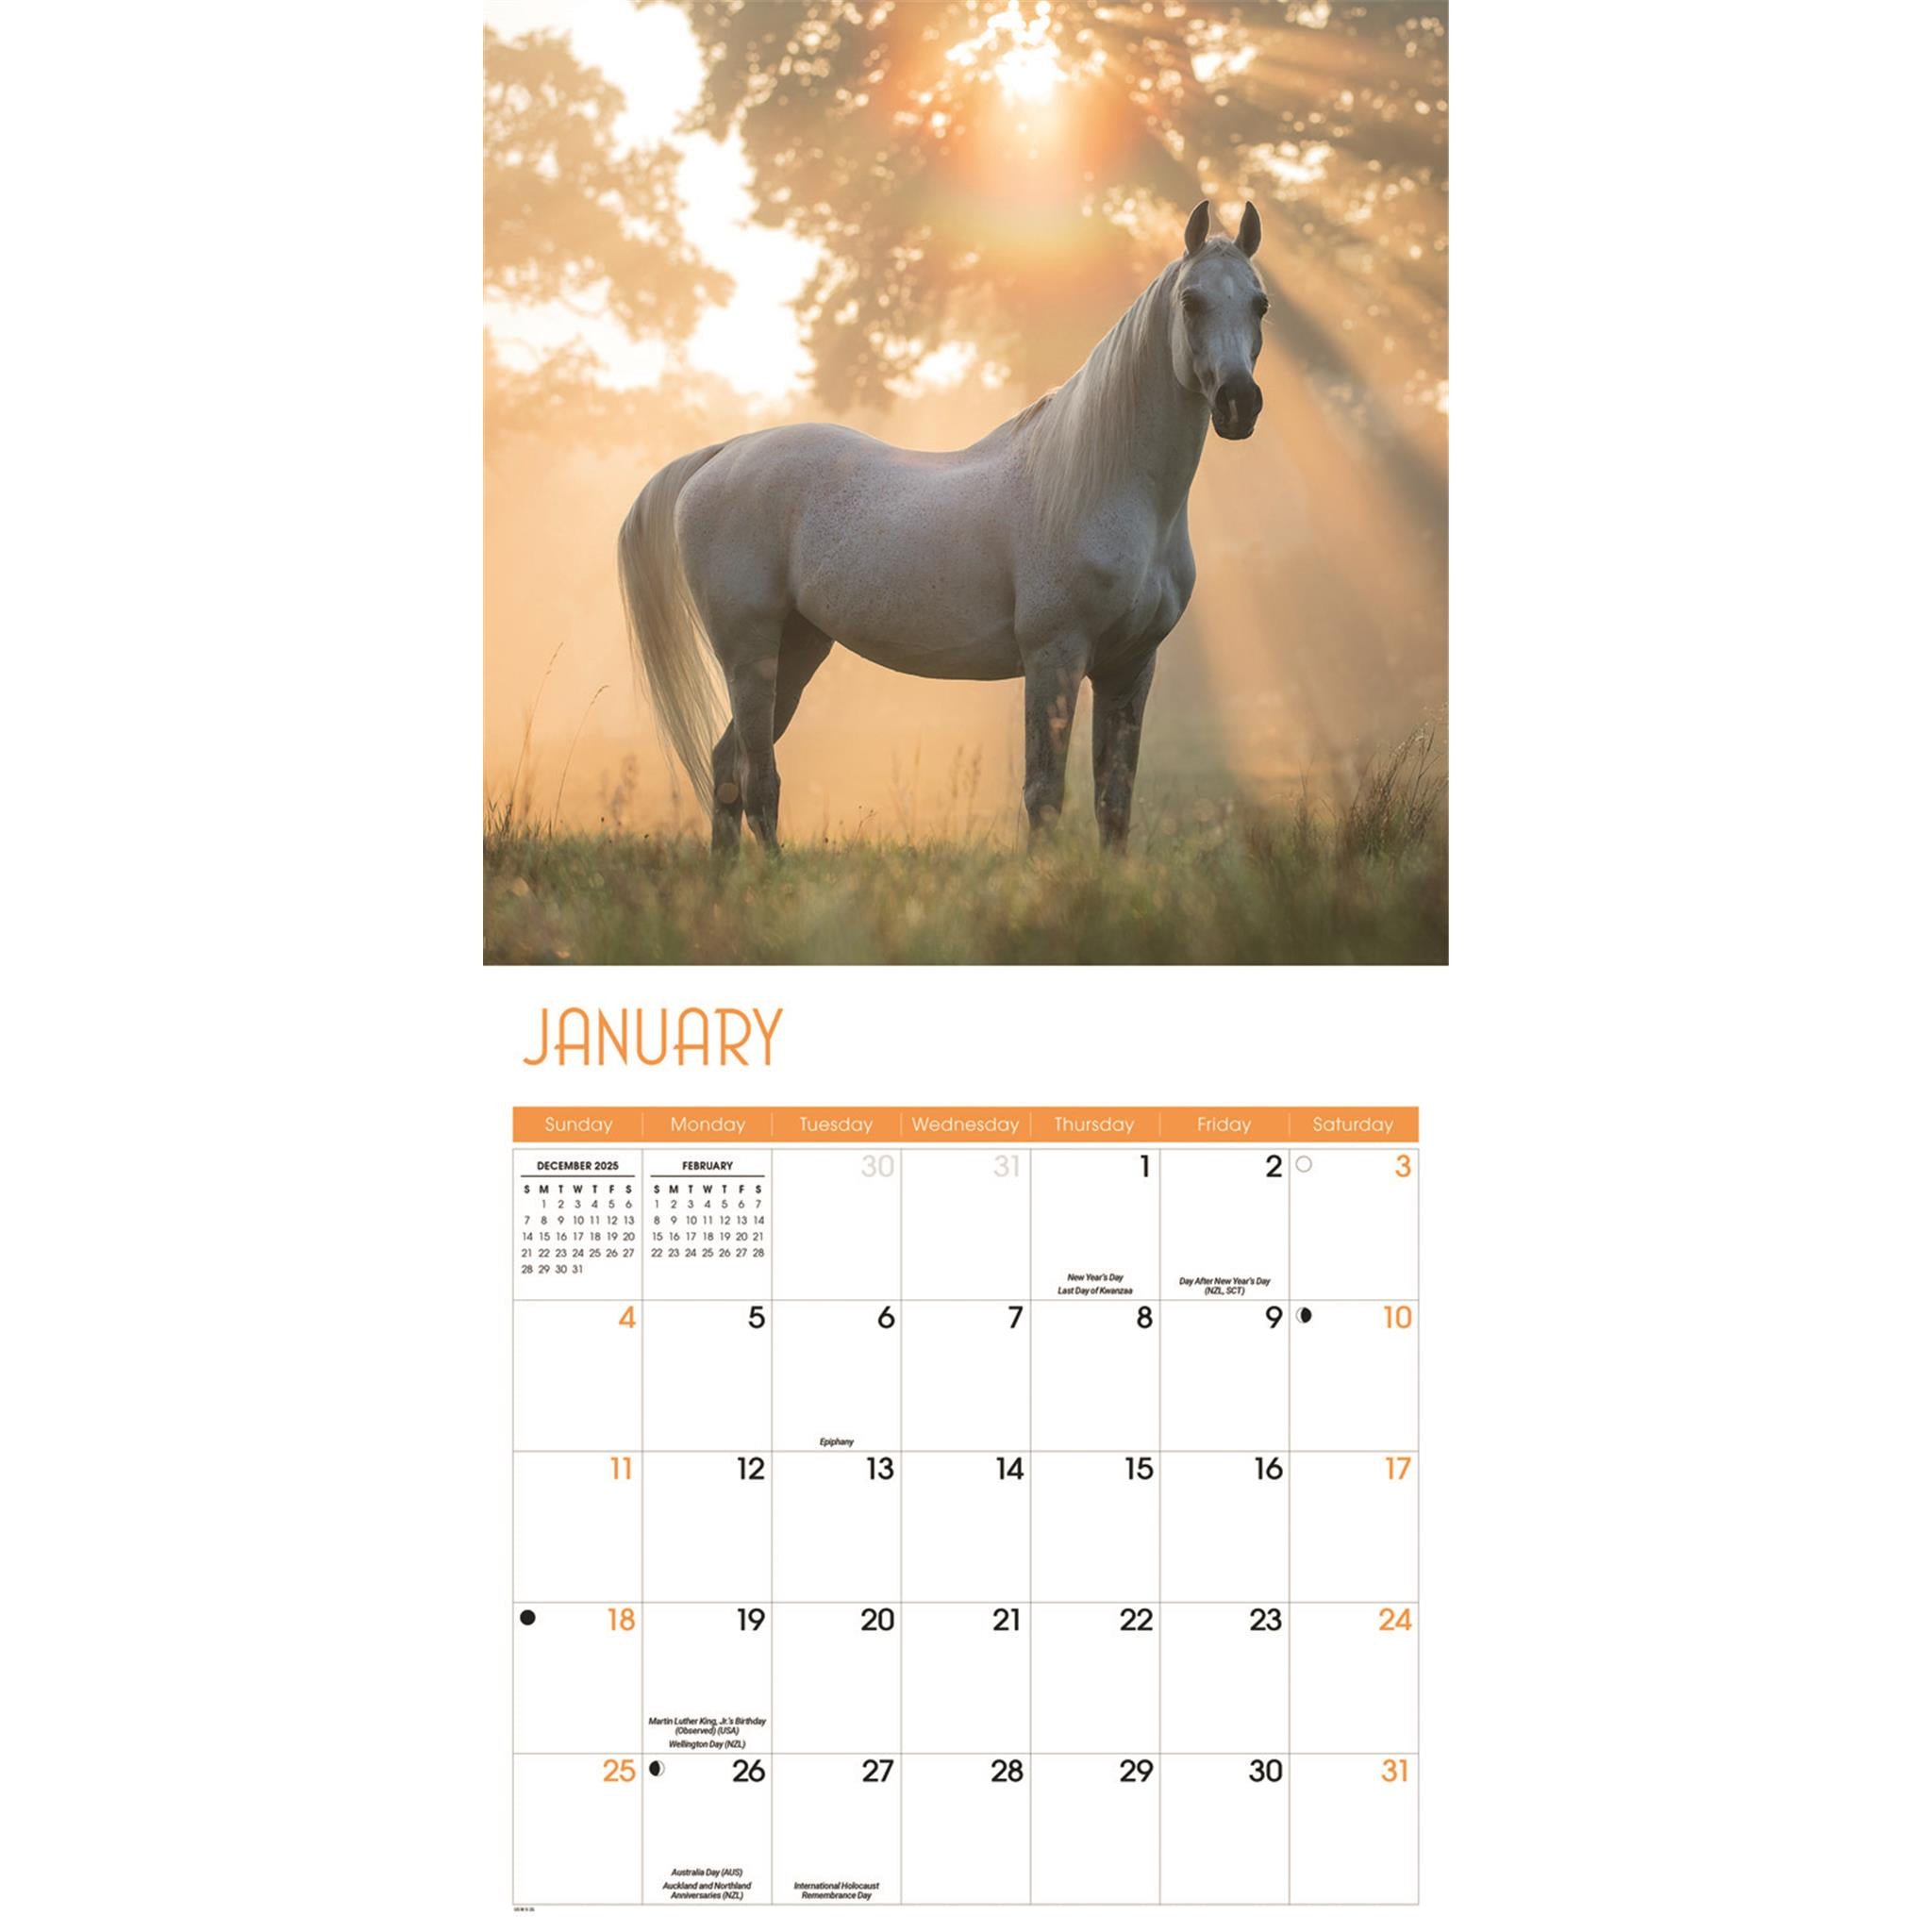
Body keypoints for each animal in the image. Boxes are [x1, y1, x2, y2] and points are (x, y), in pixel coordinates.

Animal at [619, 199, 1267, 852]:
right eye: (1191, 301)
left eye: (1259, 303)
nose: (1239, 402)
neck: (1105, 486)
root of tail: (722, 455)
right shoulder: (1054, 657)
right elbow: (1044, 793)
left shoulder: (1130, 668)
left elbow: (1114, 802)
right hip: (749, 653)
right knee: (758, 783)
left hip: (797, 651)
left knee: (726, 769)